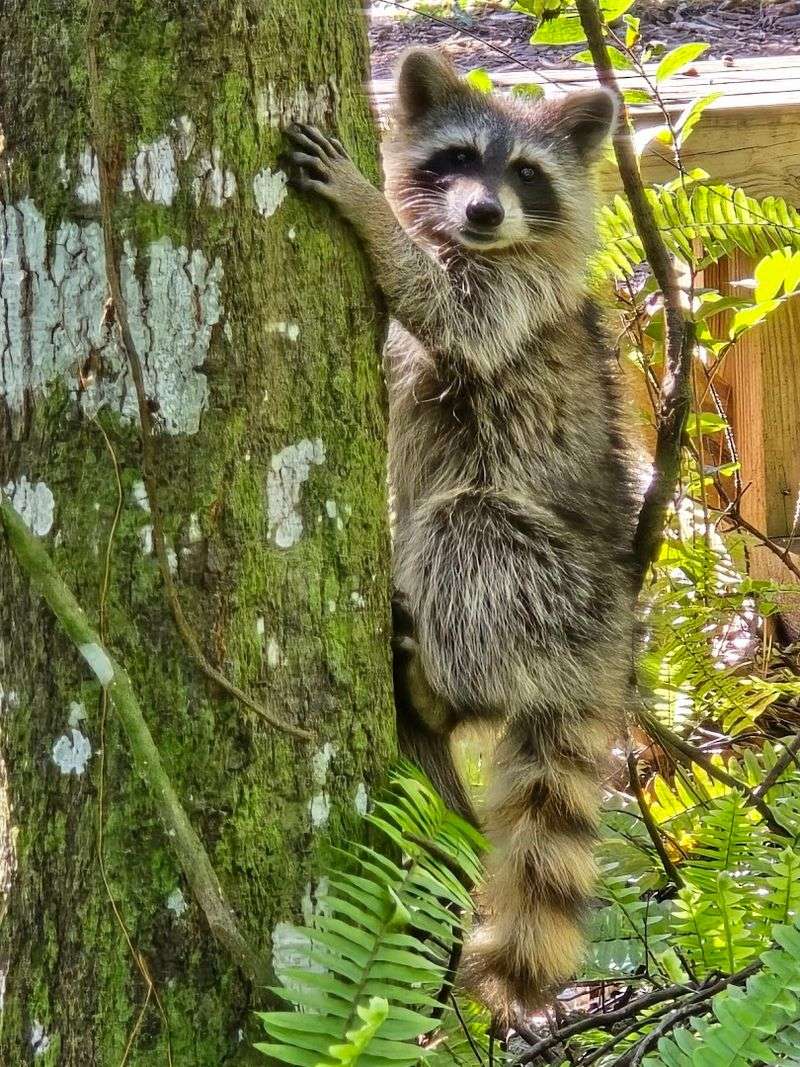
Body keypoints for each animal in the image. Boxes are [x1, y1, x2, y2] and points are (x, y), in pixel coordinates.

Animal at [287, 48, 638, 1016]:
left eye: (526, 174)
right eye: (458, 159)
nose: (484, 212)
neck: (475, 242)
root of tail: (612, 638)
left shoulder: (519, 296)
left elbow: (452, 312)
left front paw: (370, 214)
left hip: (552, 584)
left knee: (466, 532)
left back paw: (447, 692)